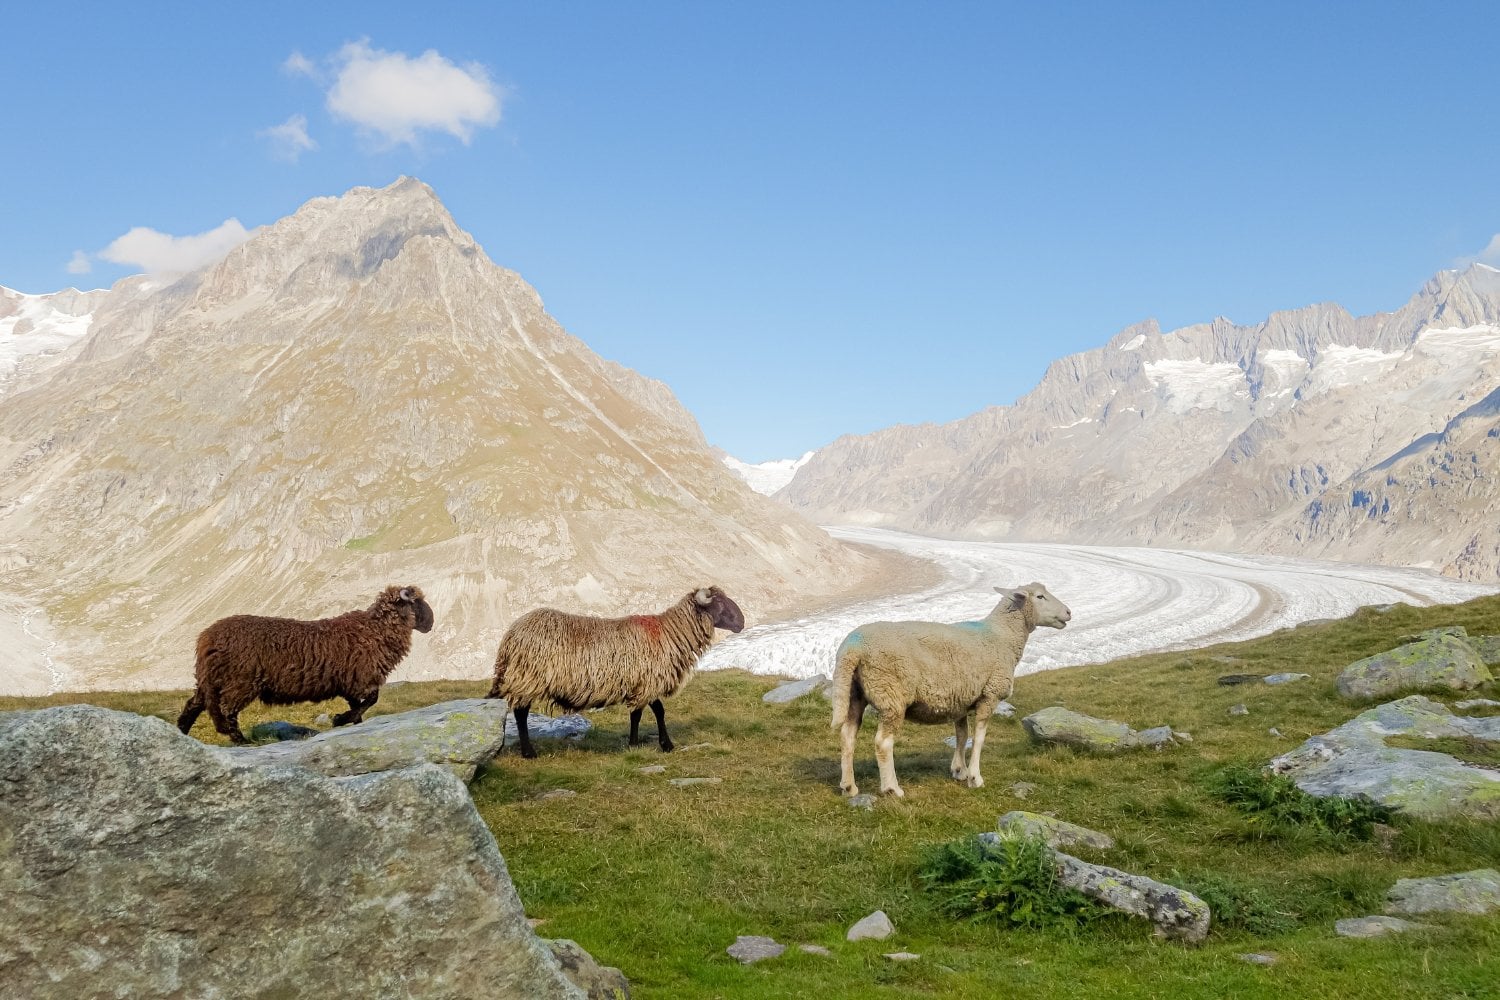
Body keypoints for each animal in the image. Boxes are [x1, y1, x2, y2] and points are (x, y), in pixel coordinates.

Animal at [176, 584, 435, 745]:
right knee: (227, 710)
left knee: (193, 705)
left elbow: (360, 705)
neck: (374, 629)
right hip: (240, 681)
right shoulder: (360, 677)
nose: (431, 623)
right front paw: (340, 719)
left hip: (211, 680)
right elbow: (371, 700)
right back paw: (241, 740)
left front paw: (350, 722)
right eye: (417, 602)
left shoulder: (348, 682)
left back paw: (182, 733)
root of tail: (207, 637)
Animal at [486, 585, 745, 758]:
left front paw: (642, 743)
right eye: (719, 604)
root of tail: (511, 635)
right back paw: (528, 752)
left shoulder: (642, 682)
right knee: (520, 713)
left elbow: (643, 713)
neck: (669, 633)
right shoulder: (648, 681)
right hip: (529, 678)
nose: (741, 622)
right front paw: (657, 744)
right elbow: (652, 712)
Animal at [830, 582, 1071, 798]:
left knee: (847, 736)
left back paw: (849, 787)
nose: (1068, 612)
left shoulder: (960, 699)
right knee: (883, 743)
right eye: (1040, 596)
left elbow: (962, 735)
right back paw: (892, 789)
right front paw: (975, 777)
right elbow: (979, 738)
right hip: (891, 694)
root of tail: (851, 648)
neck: (1002, 636)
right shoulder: (989, 694)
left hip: (854, 693)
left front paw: (959, 770)